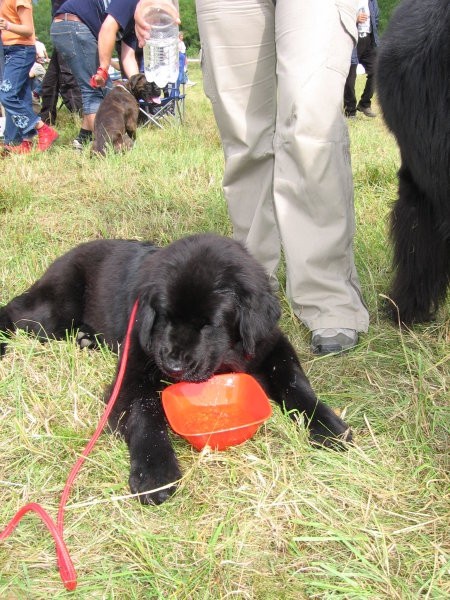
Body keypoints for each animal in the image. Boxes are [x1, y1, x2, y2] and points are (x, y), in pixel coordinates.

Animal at [0, 233, 352, 502]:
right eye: (164, 316)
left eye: (209, 324)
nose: (172, 364)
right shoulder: (136, 362)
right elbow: (145, 410)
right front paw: (156, 473)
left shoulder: (271, 344)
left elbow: (294, 381)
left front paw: (330, 426)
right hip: (53, 311)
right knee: (15, 310)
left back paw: (86, 339)